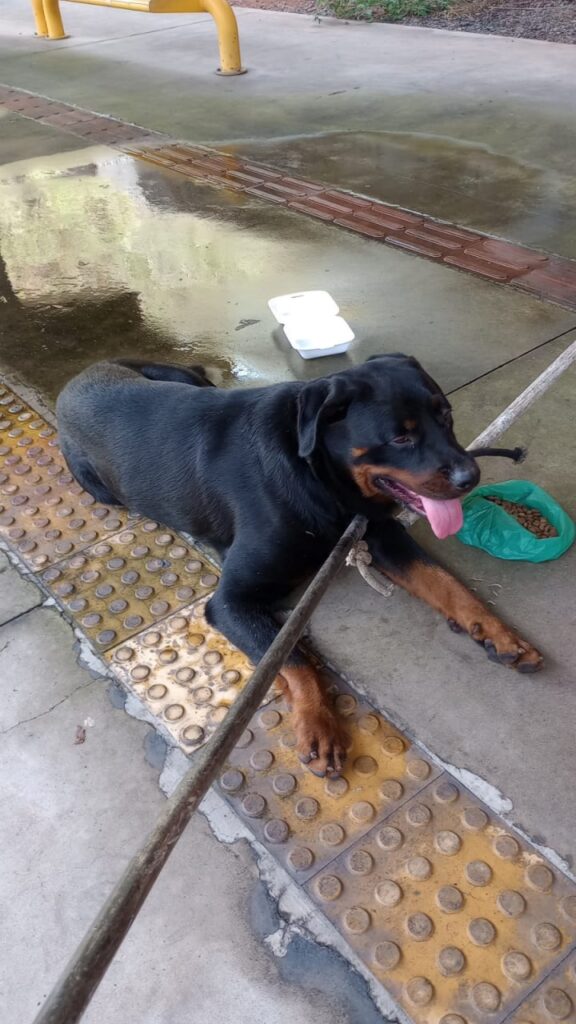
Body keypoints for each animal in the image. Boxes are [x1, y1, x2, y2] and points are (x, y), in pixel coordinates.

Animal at [56, 354, 541, 774]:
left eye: (446, 416)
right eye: (400, 438)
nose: (470, 476)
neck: (317, 474)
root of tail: (84, 374)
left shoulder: (380, 532)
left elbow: (445, 582)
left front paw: (499, 632)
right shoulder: (231, 602)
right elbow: (293, 659)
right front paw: (317, 722)